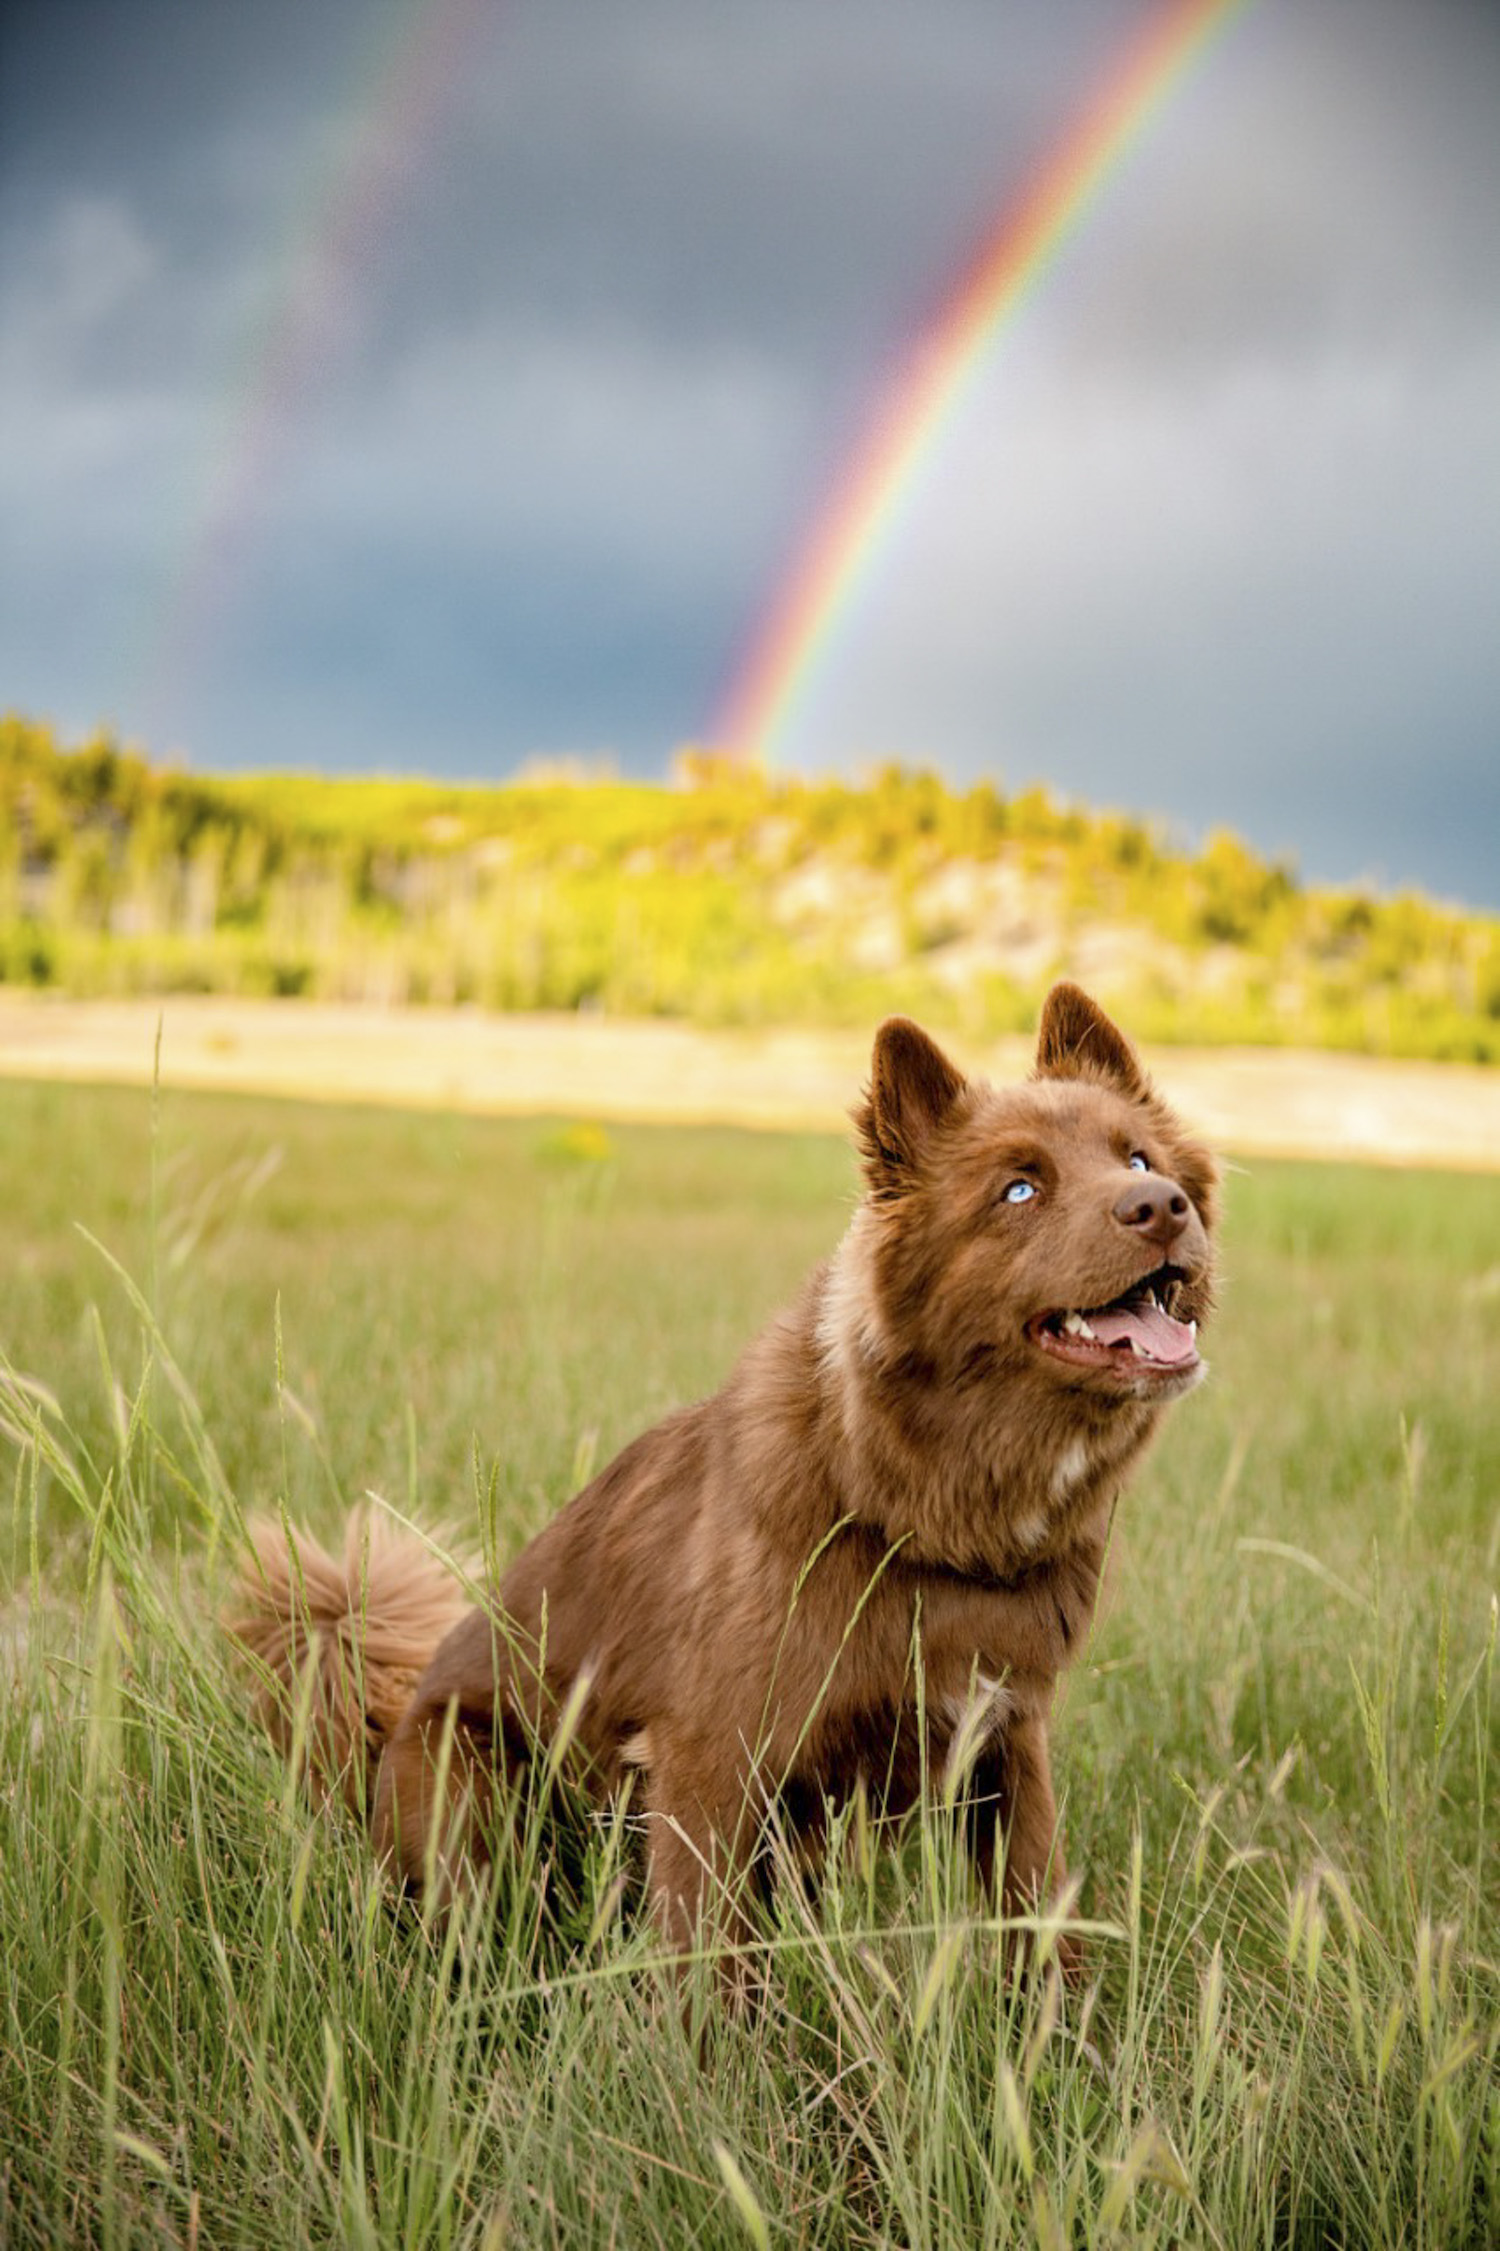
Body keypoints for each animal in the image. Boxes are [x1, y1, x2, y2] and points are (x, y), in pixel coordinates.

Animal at [234, 990, 1216, 1971]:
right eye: (1019, 1189)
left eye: (1139, 1158)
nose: (1162, 1206)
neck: (916, 1500)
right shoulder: (710, 1759)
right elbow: (709, 1966)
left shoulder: (1007, 1741)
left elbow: (1041, 1919)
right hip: (471, 1786)